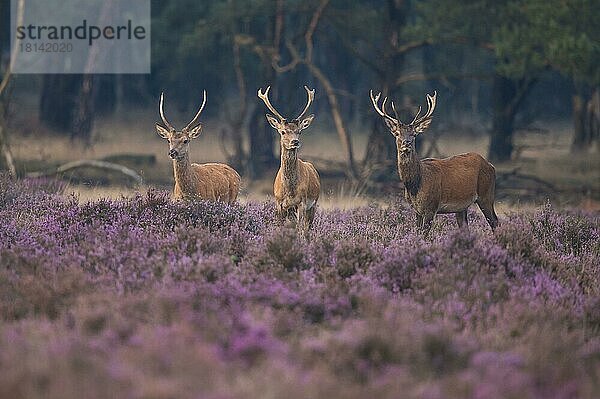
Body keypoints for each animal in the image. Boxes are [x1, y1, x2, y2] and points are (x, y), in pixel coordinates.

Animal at [258, 86, 324, 238]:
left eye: (299, 131)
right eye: (283, 131)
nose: (295, 142)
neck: (289, 190)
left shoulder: (302, 202)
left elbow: (300, 230)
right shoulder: (279, 203)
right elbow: (280, 228)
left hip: (313, 204)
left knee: (307, 228)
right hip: (292, 210)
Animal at [368, 89, 500, 236]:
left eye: (414, 134)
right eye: (397, 133)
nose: (406, 143)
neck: (415, 185)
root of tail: (491, 165)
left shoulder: (431, 206)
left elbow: (425, 235)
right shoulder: (417, 210)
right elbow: (418, 232)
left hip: (486, 194)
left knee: (495, 221)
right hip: (462, 207)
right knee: (466, 227)